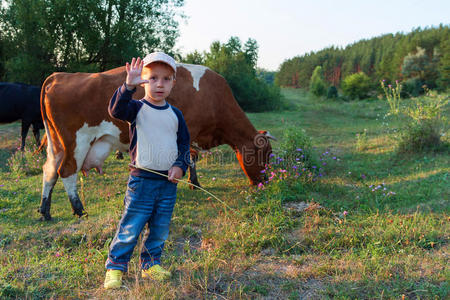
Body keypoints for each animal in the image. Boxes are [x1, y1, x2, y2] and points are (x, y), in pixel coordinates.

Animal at [38, 63, 276, 220]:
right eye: (265, 154)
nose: (266, 182)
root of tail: (60, 76)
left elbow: (190, 159)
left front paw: (194, 183)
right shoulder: (189, 131)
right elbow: (189, 157)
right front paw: (191, 183)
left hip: (57, 144)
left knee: (49, 171)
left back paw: (45, 211)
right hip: (77, 141)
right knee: (67, 172)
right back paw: (79, 209)